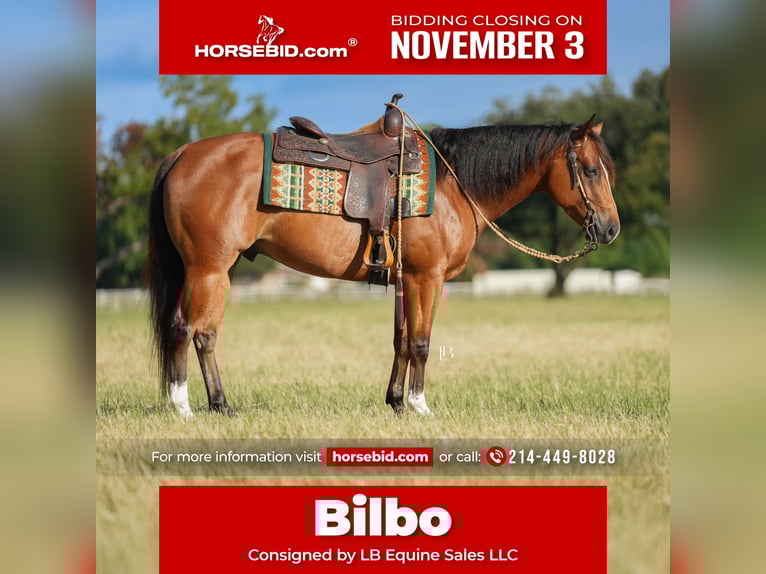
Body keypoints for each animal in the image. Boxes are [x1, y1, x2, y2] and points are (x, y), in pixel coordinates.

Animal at [146, 110, 619, 418]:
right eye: (591, 170)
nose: (611, 228)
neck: (453, 185)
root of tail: (183, 153)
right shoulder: (427, 278)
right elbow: (422, 342)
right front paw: (419, 406)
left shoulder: (404, 281)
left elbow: (401, 341)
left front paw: (395, 402)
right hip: (208, 270)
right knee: (188, 330)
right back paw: (188, 406)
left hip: (213, 271)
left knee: (198, 333)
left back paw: (213, 404)